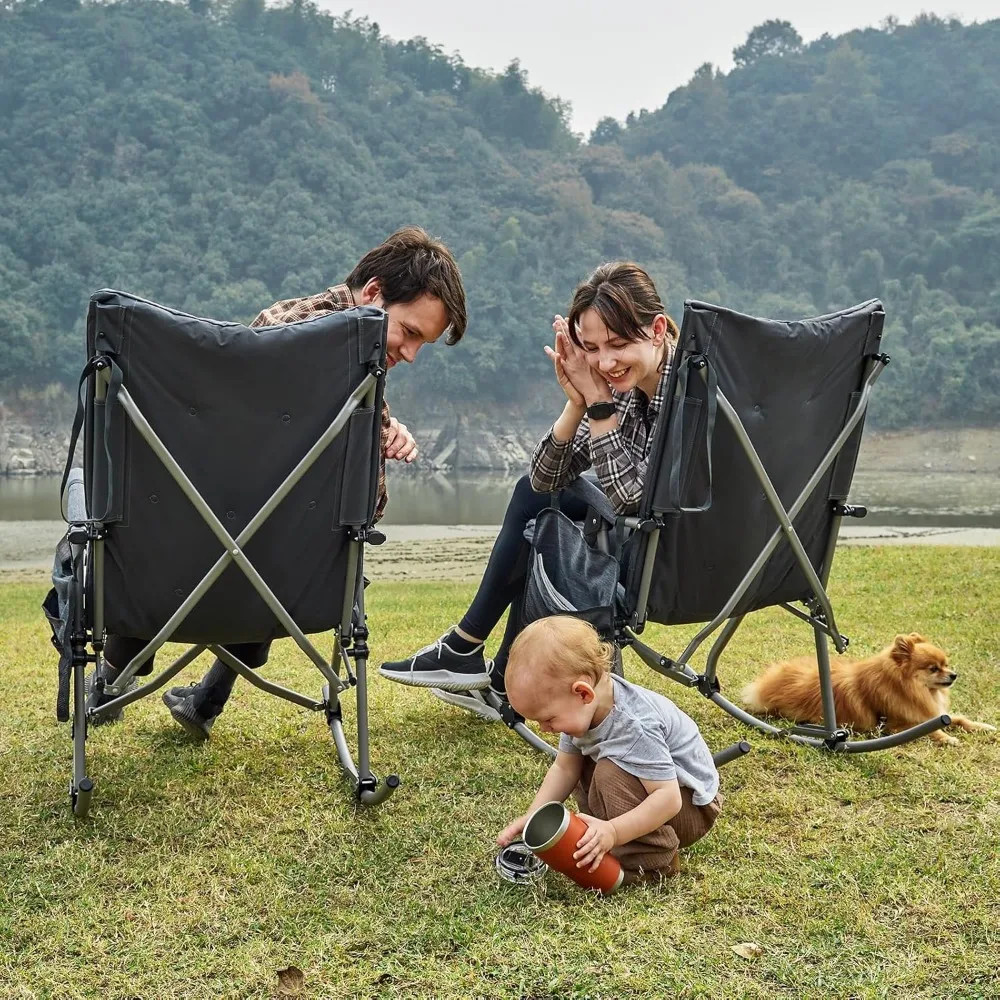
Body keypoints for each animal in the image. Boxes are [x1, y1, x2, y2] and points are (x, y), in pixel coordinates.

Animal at [740, 632, 996, 744]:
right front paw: (948, 738)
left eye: (946, 664)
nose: (954, 675)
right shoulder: (895, 725)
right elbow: (930, 729)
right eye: (933, 668)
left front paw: (984, 727)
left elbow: (959, 719)